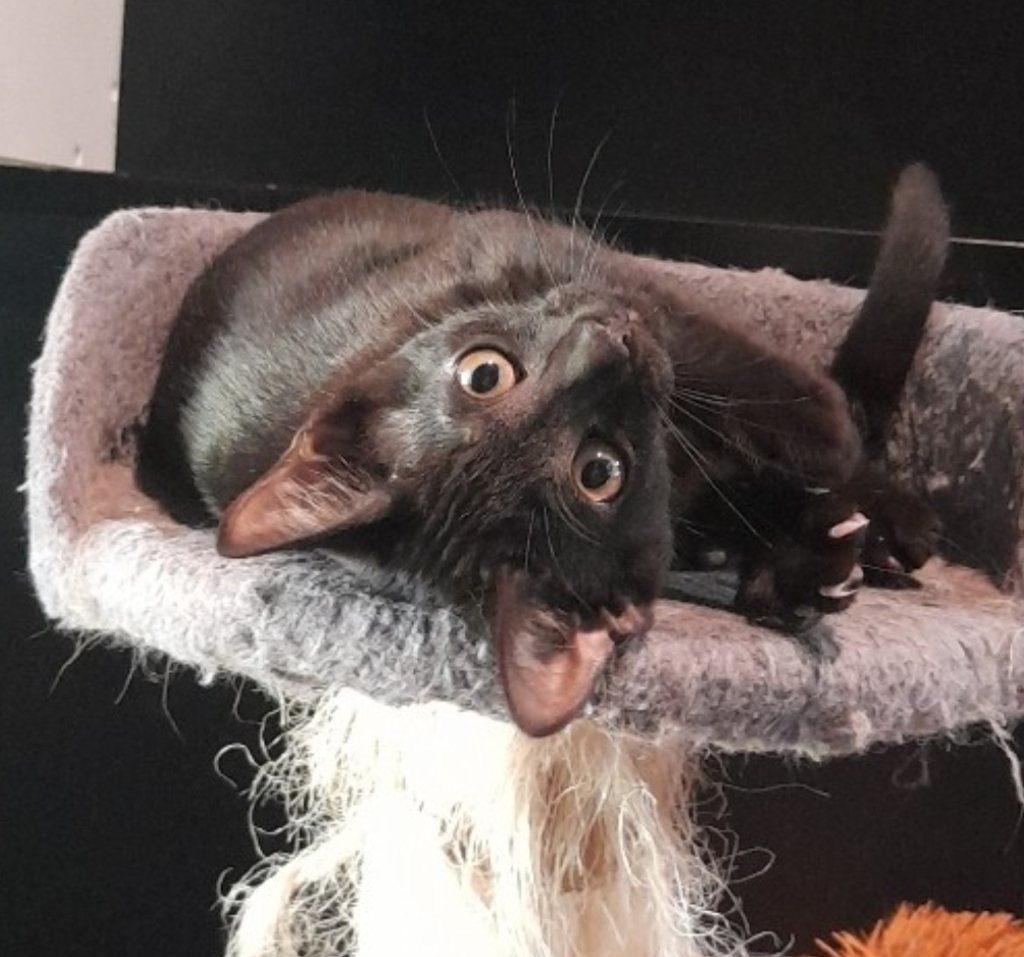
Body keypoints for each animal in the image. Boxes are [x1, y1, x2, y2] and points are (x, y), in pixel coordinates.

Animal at [136, 171, 942, 736]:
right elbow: (746, 379)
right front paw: (825, 435)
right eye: (599, 472)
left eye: (482, 374)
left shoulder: (567, 261)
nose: (606, 346)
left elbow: (715, 361)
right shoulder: (648, 317)